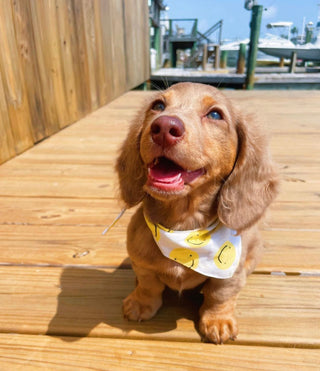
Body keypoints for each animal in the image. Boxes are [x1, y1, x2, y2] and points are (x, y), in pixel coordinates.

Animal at [115, 83, 278, 344]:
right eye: (158, 105)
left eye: (215, 115)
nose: (164, 128)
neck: (182, 227)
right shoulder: (141, 263)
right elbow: (148, 285)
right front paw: (140, 304)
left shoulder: (229, 275)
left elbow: (219, 295)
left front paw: (218, 321)